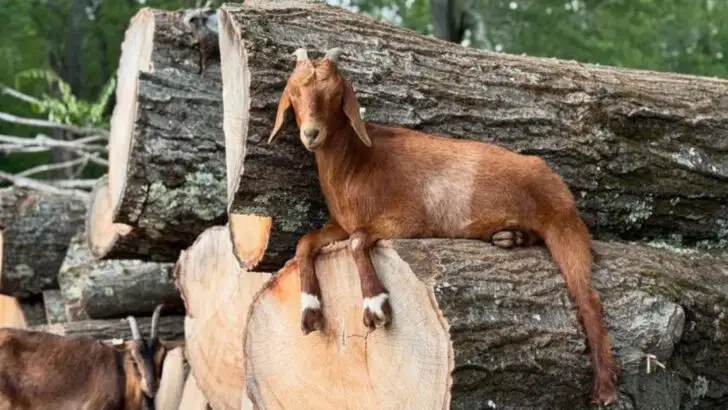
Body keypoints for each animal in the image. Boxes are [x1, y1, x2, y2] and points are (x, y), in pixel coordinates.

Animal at [267, 47, 619, 406]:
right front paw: (310, 309)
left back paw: (606, 388)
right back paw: (510, 237)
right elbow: (306, 243)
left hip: (562, 223)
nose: (312, 134)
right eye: (294, 94)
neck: (358, 164)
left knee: (588, 297)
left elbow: (357, 240)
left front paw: (375, 305)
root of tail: (551, 175)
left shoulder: (408, 219)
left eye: (336, 95)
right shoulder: (340, 222)